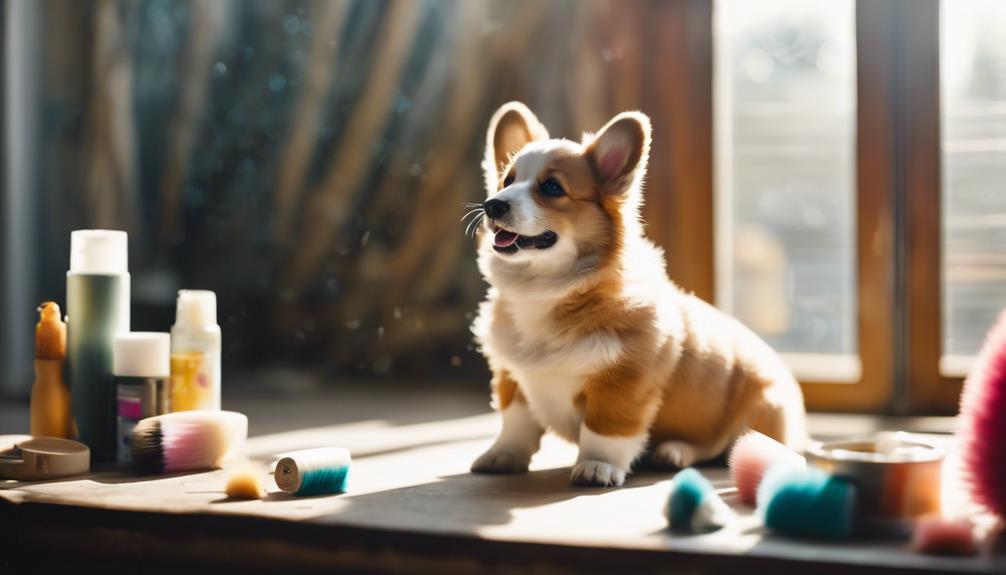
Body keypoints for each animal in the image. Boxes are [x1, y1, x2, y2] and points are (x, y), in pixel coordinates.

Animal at [466, 102, 804, 484]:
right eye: (507, 181)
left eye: (552, 187)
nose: (493, 205)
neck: (545, 289)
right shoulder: (513, 377)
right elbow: (516, 424)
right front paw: (503, 456)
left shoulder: (624, 383)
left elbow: (604, 431)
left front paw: (596, 467)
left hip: (762, 408)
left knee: (725, 448)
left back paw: (674, 451)